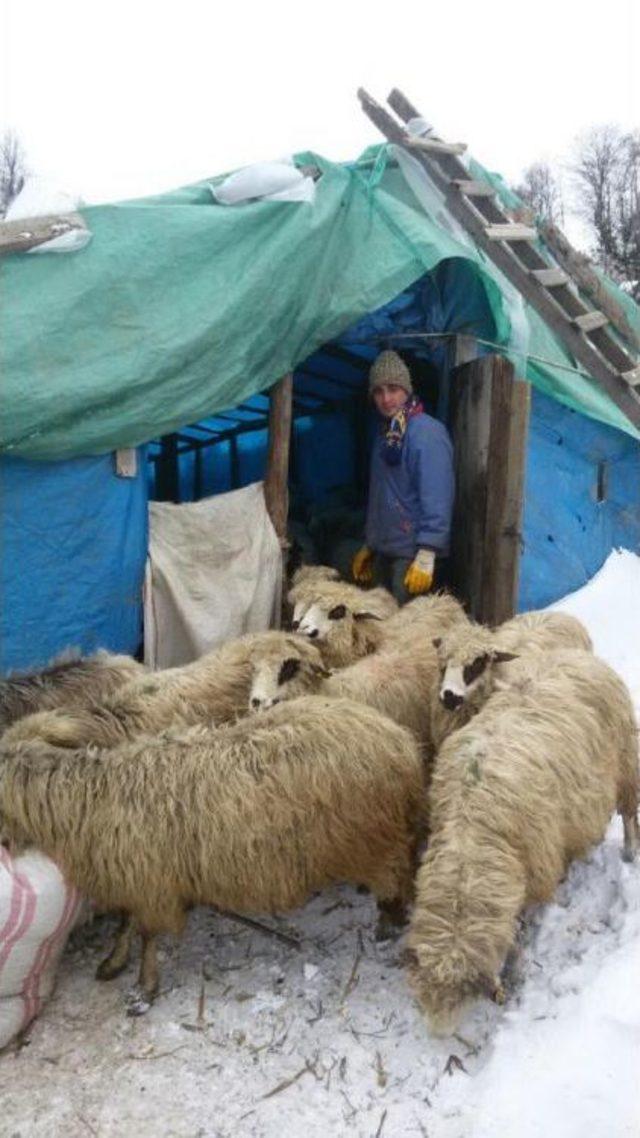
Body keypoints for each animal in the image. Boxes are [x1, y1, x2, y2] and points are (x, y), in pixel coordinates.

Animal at [1, 696, 428, 1010]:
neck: (90, 799)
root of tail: (398, 739)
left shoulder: (152, 883)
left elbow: (147, 935)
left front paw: (144, 990)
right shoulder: (135, 877)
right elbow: (126, 922)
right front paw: (113, 962)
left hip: (374, 838)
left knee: (401, 870)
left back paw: (389, 920)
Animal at [407, 646, 637, 1037]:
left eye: (462, 1001)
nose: (439, 1034)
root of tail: (575, 653)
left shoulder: (540, 865)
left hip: (626, 767)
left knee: (630, 816)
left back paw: (629, 852)